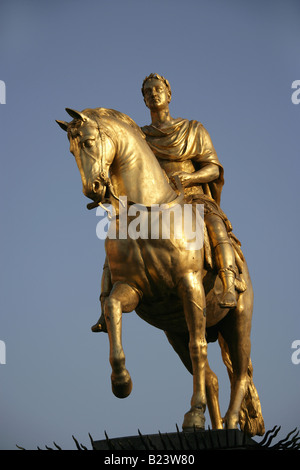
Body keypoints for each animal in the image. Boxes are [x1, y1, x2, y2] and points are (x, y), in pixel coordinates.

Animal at [56, 107, 264, 436]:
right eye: (71, 150)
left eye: (88, 142)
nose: (93, 190)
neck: (144, 215)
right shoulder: (133, 289)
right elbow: (112, 309)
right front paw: (121, 382)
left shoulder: (189, 284)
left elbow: (198, 346)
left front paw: (194, 415)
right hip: (173, 332)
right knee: (213, 378)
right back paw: (214, 424)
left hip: (238, 321)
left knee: (239, 372)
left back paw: (230, 422)